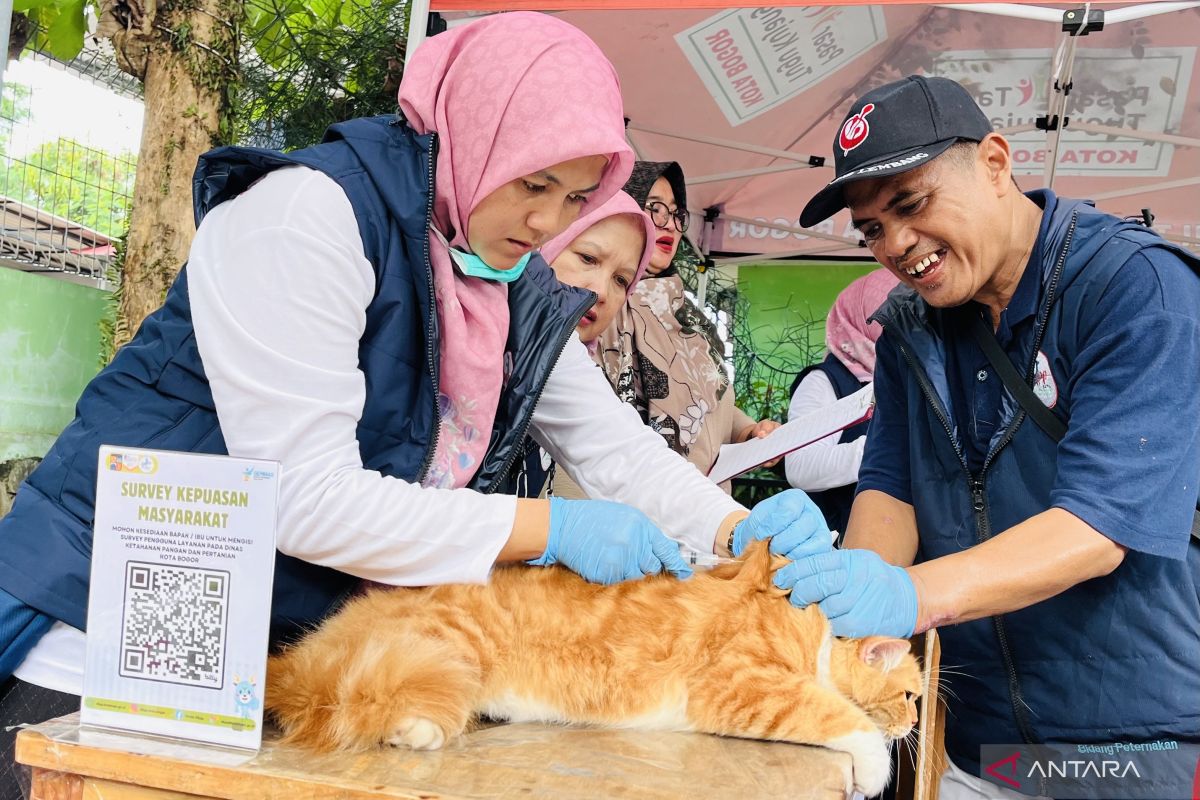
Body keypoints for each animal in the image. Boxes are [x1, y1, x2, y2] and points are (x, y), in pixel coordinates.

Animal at [270, 542, 916, 796]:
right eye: (912, 696)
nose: (913, 726)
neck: (813, 621)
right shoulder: (742, 686)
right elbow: (842, 717)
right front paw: (877, 767)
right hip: (442, 655)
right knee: (362, 702)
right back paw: (412, 728)